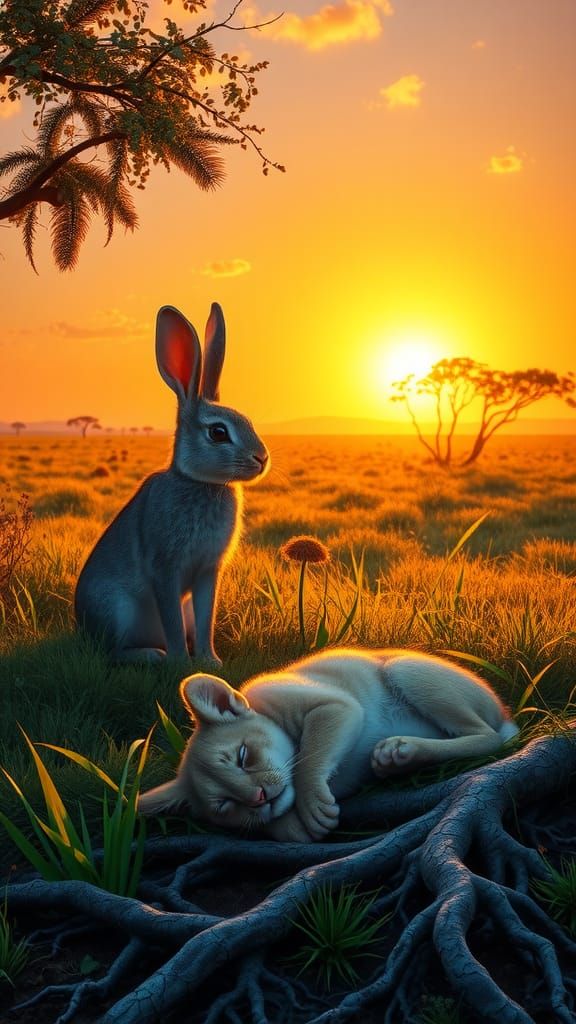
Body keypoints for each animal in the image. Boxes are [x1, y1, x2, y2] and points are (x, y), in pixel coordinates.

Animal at [74, 303, 269, 666]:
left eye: (247, 421)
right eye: (218, 432)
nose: (262, 459)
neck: (199, 481)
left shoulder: (208, 572)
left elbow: (206, 618)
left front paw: (209, 661)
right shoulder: (165, 568)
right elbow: (172, 621)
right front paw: (180, 662)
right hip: (115, 609)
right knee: (114, 651)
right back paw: (153, 655)